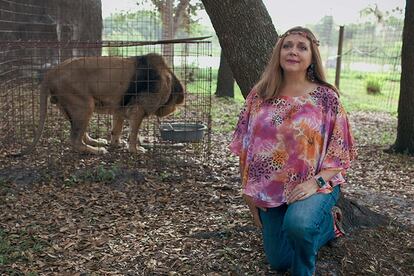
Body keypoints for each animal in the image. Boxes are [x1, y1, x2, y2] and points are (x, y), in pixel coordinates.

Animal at [19, 52, 184, 154]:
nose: (171, 110)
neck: (168, 79)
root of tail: (52, 72)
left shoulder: (120, 108)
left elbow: (117, 129)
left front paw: (117, 143)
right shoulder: (138, 110)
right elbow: (133, 132)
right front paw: (135, 149)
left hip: (71, 108)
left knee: (80, 134)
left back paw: (96, 142)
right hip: (85, 105)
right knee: (75, 140)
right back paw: (96, 151)